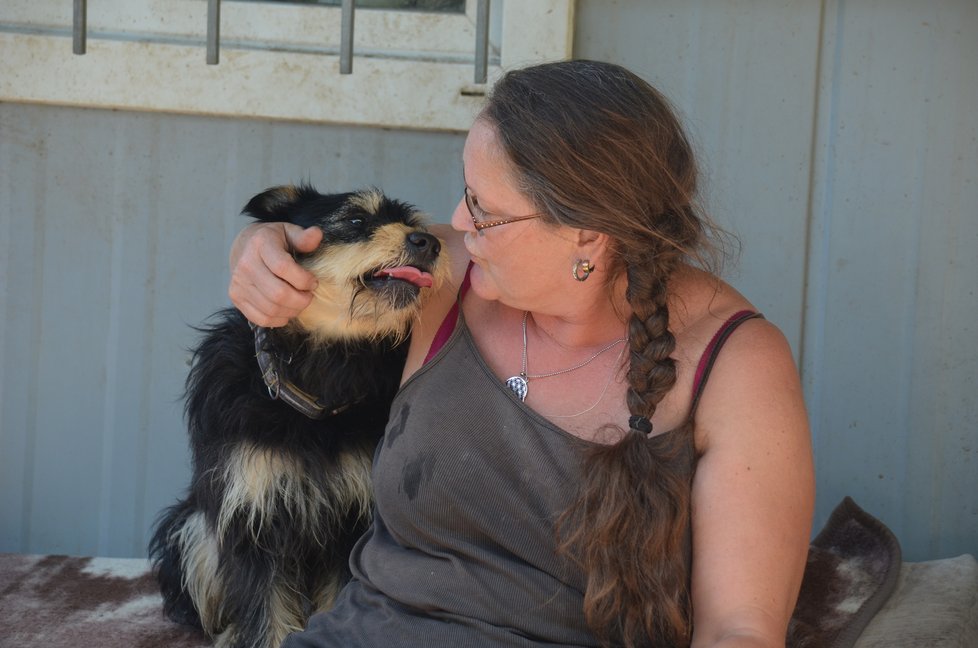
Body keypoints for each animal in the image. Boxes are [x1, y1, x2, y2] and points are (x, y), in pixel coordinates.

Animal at [148, 185, 446, 648]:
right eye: (356, 220)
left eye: (415, 223)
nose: (429, 243)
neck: (323, 375)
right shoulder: (251, 513)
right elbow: (263, 609)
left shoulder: (350, 524)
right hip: (192, 526)